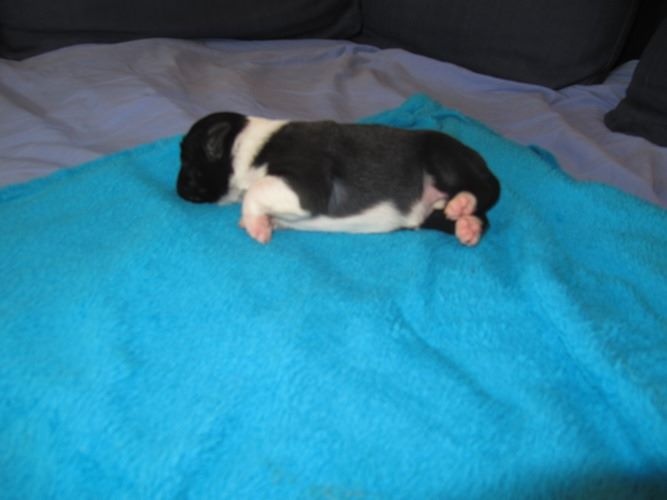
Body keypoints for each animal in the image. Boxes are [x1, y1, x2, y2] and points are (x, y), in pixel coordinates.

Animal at [177, 113, 500, 245]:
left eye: (188, 166)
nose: (178, 188)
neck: (249, 147)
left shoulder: (307, 183)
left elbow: (257, 190)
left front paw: (256, 226)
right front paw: (263, 222)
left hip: (441, 155)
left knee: (485, 190)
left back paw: (464, 203)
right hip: (427, 214)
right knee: (477, 218)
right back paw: (467, 225)